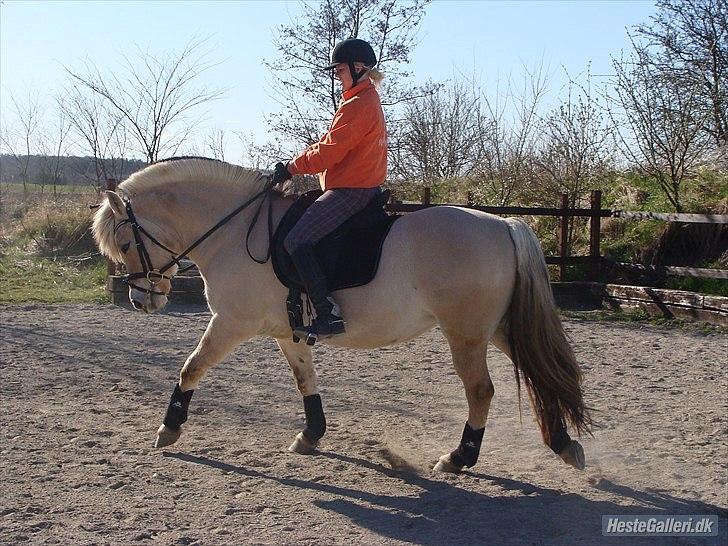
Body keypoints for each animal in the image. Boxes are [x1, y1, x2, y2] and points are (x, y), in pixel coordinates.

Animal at [92, 155, 592, 470]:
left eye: (125, 243)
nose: (142, 299)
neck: (234, 231)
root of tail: (503, 224)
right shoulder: (287, 331)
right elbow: (305, 381)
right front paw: (311, 435)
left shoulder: (232, 323)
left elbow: (191, 367)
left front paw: (168, 429)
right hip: (499, 328)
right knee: (540, 375)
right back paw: (564, 445)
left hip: (465, 334)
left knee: (481, 391)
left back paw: (459, 458)